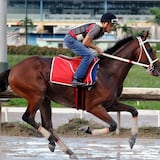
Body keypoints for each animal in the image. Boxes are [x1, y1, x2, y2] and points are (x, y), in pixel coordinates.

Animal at [0, 31, 160, 159]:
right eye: (150, 49)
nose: (157, 68)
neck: (108, 72)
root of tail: (13, 69)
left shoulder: (110, 104)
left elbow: (134, 110)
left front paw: (132, 140)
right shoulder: (93, 107)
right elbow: (113, 125)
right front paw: (86, 129)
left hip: (45, 99)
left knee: (47, 124)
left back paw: (64, 149)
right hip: (36, 96)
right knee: (28, 117)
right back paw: (56, 143)